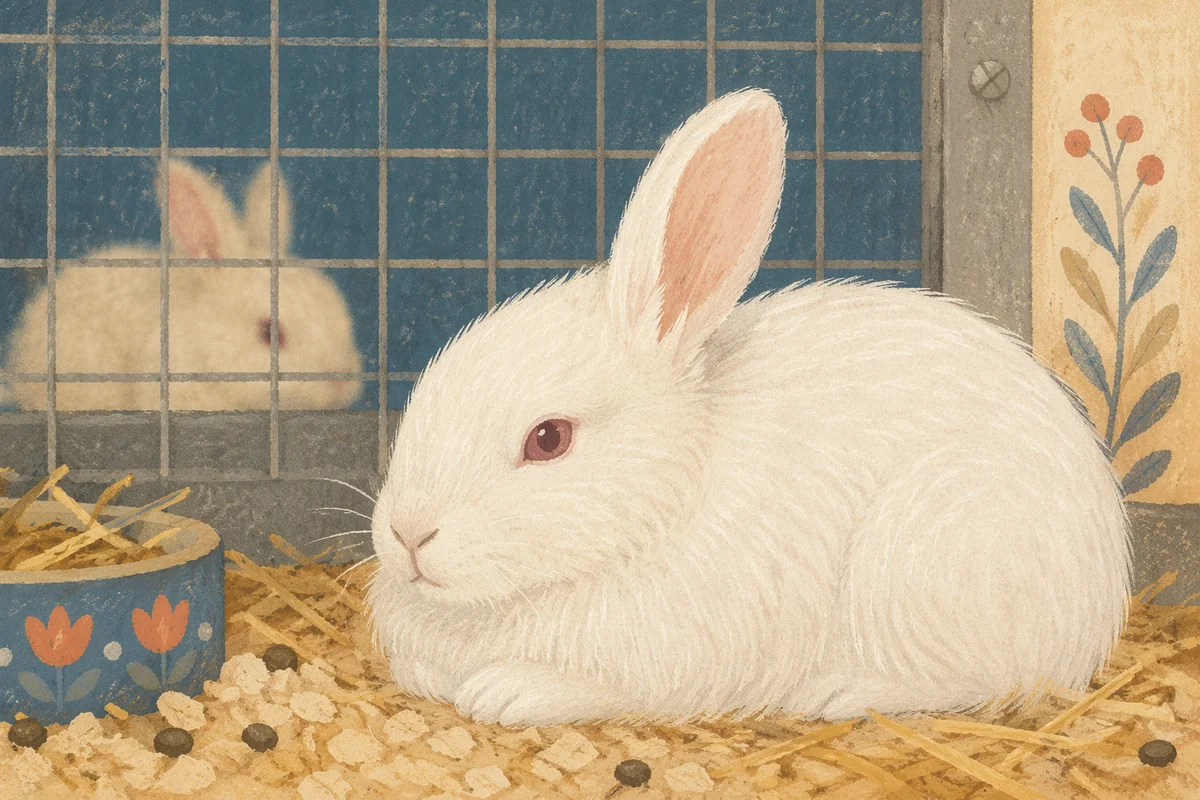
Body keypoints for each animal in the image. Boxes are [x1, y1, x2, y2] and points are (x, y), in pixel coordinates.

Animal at [366, 88, 1133, 728]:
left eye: (548, 439)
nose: (408, 534)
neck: (664, 503)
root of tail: (1096, 607)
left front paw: (508, 691)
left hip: (930, 550)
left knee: (990, 680)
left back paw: (841, 691)